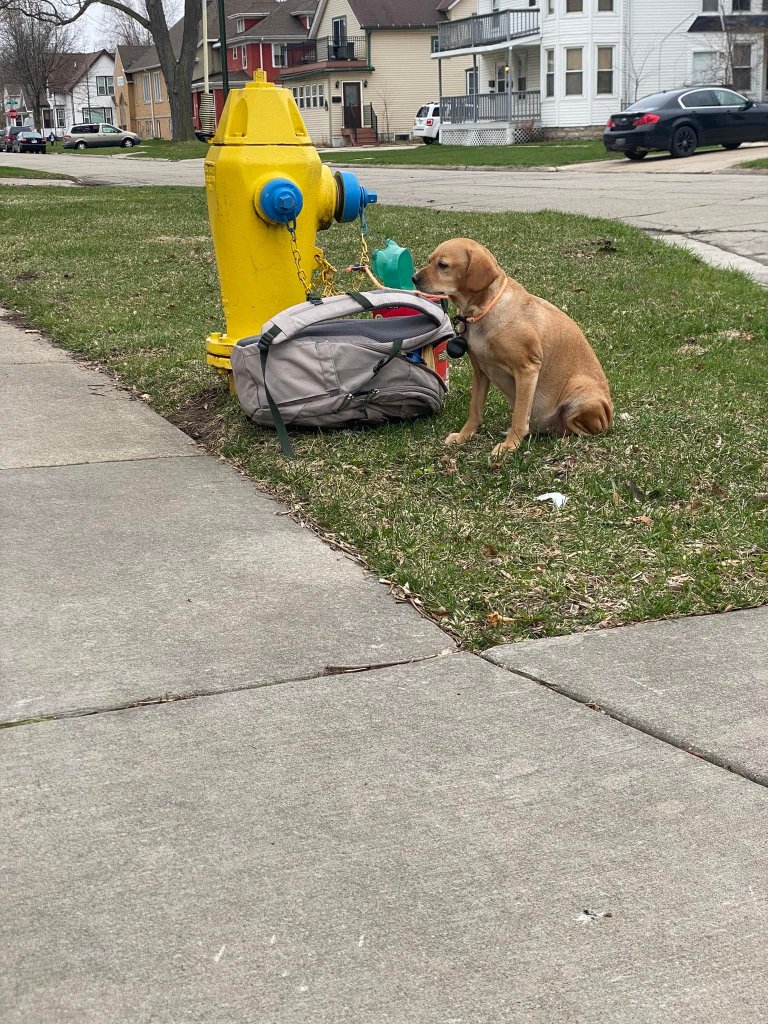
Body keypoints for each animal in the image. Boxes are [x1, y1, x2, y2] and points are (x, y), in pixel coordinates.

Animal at [415, 239, 614, 456]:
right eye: (429, 260)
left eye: (442, 265)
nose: (413, 278)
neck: (484, 311)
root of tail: (610, 416)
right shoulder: (480, 372)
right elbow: (475, 410)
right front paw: (464, 436)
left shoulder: (527, 369)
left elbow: (519, 416)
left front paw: (510, 445)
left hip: (581, 397)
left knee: (584, 432)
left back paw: (564, 441)